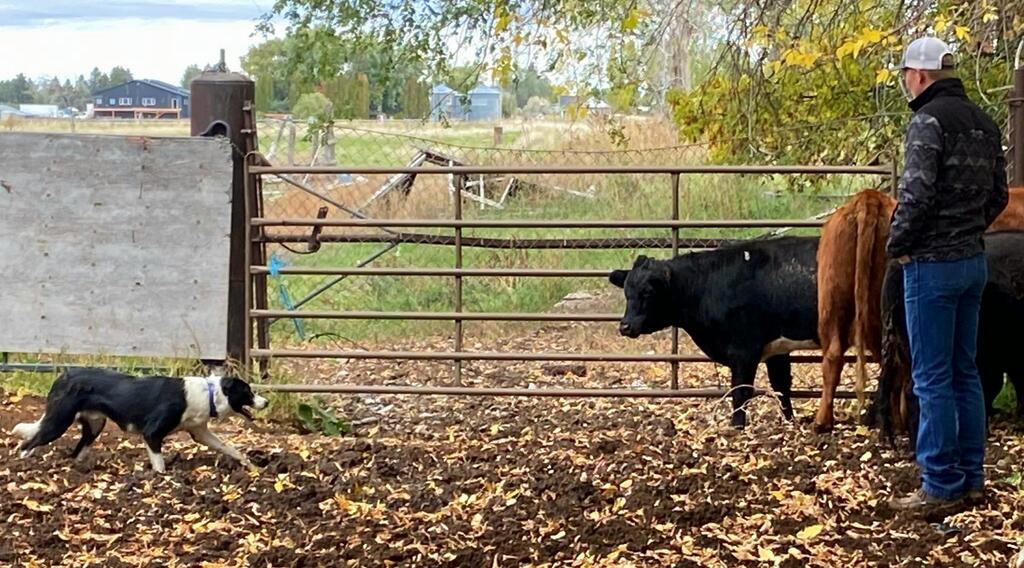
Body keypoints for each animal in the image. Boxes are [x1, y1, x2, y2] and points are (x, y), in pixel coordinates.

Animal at [610, 237, 819, 428]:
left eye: (648, 292)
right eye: (627, 293)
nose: (625, 326)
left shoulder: (744, 350)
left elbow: (741, 390)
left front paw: (736, 426)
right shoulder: (777, 348)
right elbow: (781, 386)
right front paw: (791, 423)